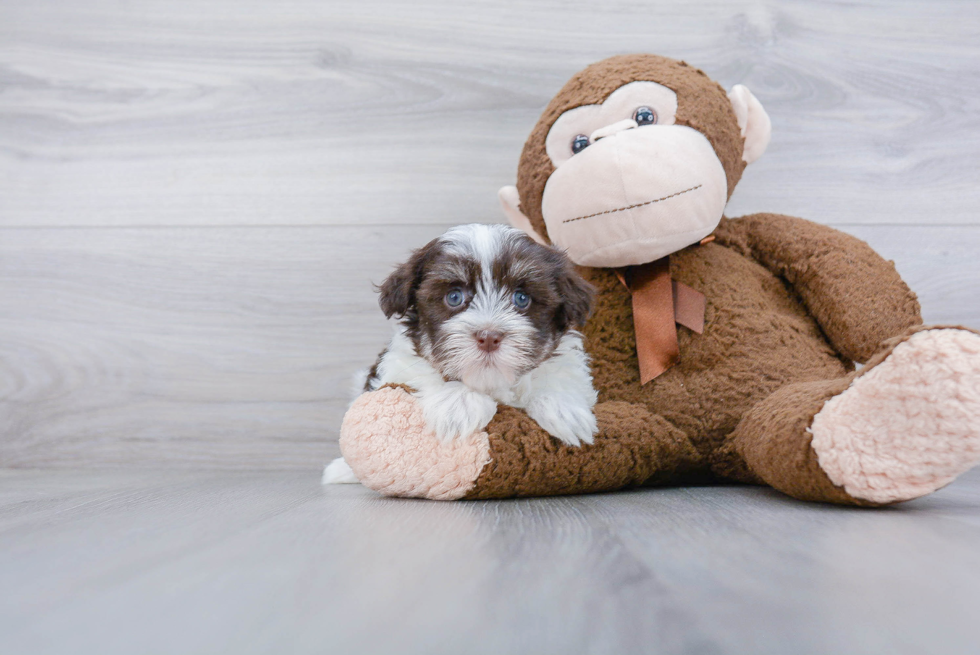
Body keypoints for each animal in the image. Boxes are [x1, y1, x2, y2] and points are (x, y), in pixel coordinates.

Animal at [322, 226, 596, 486]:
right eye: (454, 297)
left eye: (521, 298)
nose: (489, 337)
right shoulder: (399, 366)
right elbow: (422, 376)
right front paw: (458, 406)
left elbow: (558, 376)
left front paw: (564, 409)